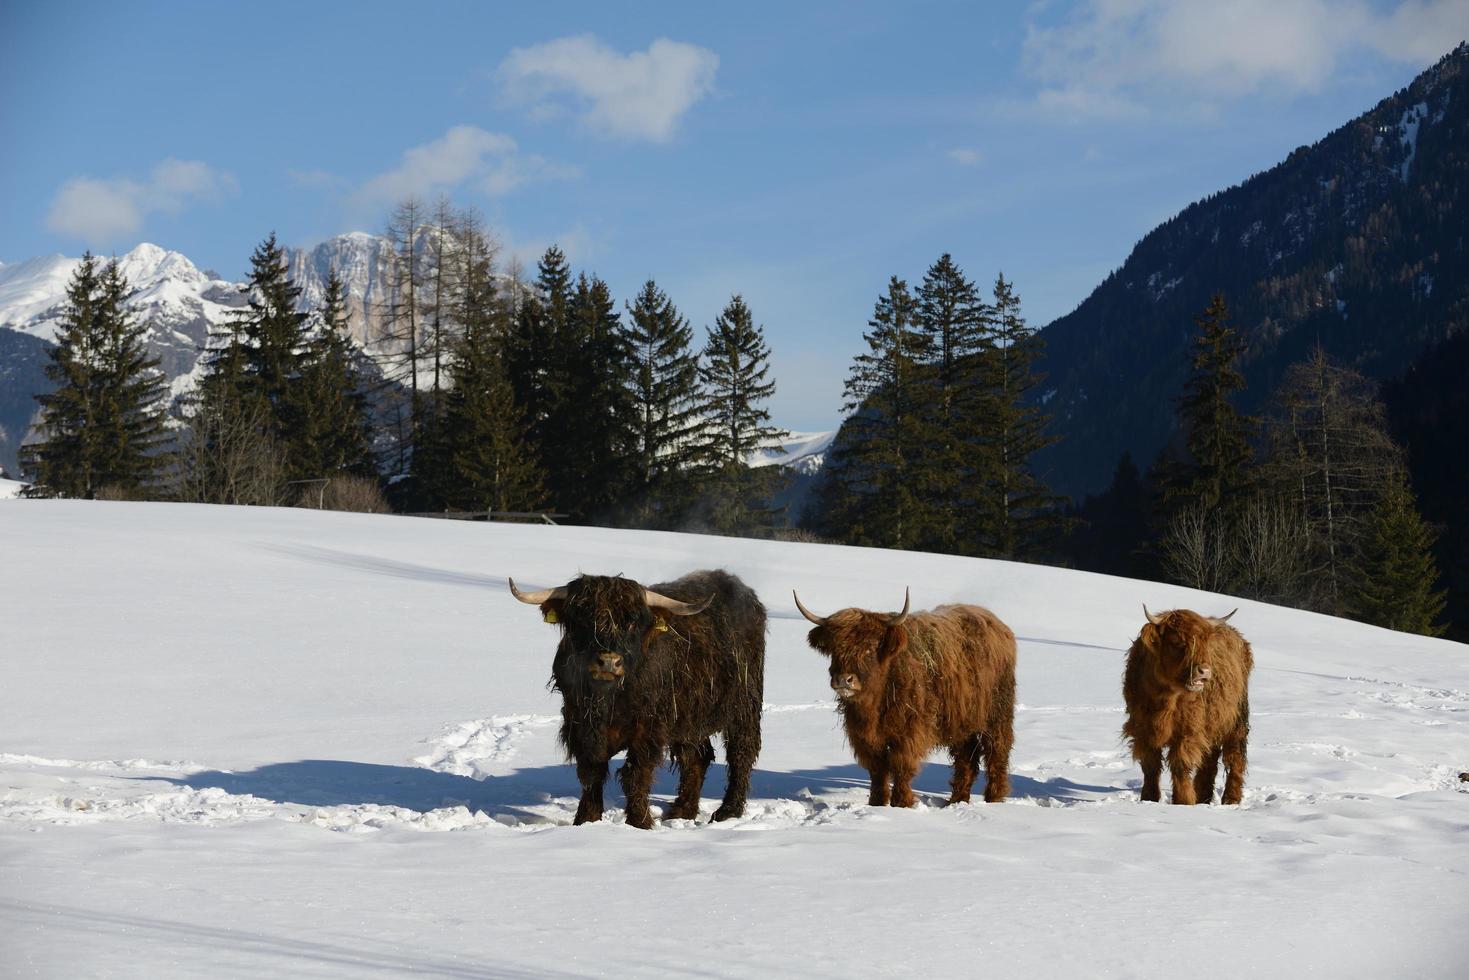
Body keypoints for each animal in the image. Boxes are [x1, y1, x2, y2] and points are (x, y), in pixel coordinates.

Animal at [511, 570, 769, 834]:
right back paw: (681, 812)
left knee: (741, 753)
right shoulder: (581, 725)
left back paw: (728, 812)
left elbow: (635, 775)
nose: (609, 661)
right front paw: (586, 821)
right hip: (689, 718)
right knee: (697, 758)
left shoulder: (648, 731)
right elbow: (591, 773)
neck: (608, 700)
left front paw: (639, 824)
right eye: (582, 618)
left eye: (633, 622)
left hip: (744, 704)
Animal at [799, 590, 1016, 805]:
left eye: (870, 647)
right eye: (834, 649)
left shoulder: (909, 732)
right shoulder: (864, 737)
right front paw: (877, 803)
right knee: (966, 758)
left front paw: (901, 803)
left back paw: (994, 797)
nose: (844, 679)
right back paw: (957, 800)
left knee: (997, 751)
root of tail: (998, 624)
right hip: (962, 721)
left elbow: (901, 765)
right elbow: (877, 769)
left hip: (997, 714)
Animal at [1122, 605, 1251, 805]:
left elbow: (1180, 764)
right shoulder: (1142, 729)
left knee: (1234, 757)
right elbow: (1150, 766)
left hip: (1236, 719)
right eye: (1176, 642)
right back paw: (1203, 797)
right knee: (1209, 760)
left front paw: (1183, 801)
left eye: (1205, 644)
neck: (1165, 697)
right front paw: (1149, 799)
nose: (1204, 671)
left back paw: (1231, 799)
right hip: (1211, 723)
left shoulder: (1188, 730)